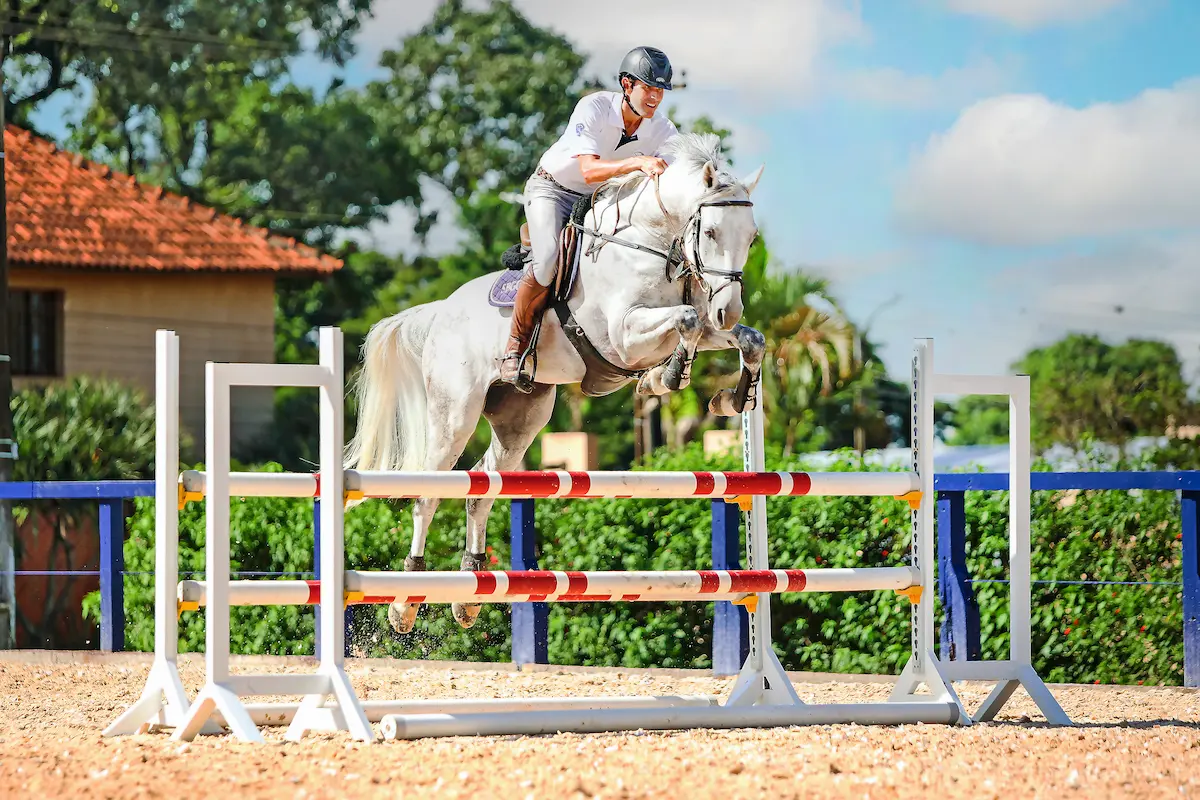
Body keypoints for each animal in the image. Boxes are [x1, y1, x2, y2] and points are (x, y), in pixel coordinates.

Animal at [345, 133, 768, 633]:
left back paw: (470, 591)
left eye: (751, 236)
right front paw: (665, 378)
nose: (729, 309)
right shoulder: (624, 337)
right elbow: (685, 320)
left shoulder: (702, 325)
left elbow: (747, 338)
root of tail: (440, 311)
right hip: (453, 416)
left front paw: (733, 398)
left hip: (520, 419)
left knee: (482, 487)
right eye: (712, 233)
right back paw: (406, 601)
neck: (650, 242)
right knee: (428, 495)